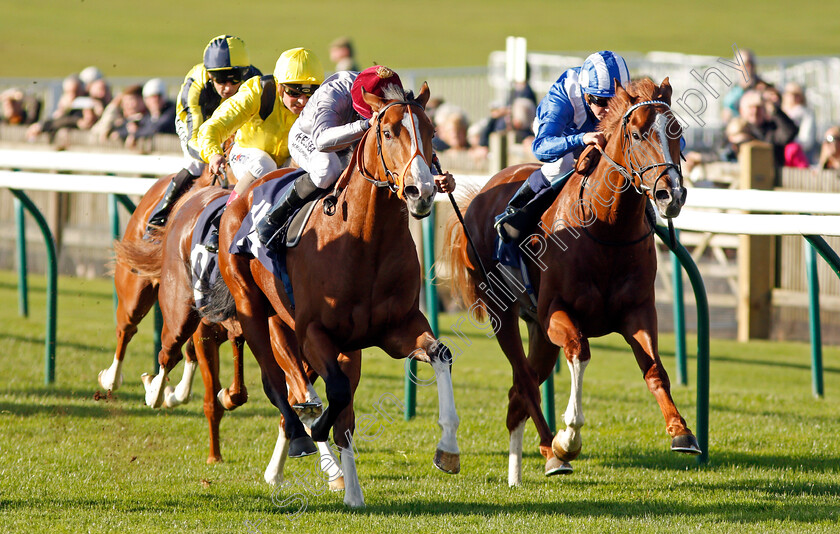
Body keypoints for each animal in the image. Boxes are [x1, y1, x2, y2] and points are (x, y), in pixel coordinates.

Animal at [217, 81, 460, 508]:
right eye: (388, 132)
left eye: (432, 132)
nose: (423, 191)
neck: (365, 240)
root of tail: (241, 193)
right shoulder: (315, 333)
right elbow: (336, 396)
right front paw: (319, 437)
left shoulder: (395, 329)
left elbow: (440, 355)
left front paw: (447, 450)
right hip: (253, 307)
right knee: (280, 383)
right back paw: (302, 439)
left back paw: (300, 472)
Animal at [450, 78, 700, 486]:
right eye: (635, 133)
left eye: (677, 131)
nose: (671, 194)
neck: (607, 229)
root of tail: (481, 193)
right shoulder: (557, 313)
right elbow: (580, 352)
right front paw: (568, 437)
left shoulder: (637, 312)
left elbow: (655, 369)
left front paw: (682, 432)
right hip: (503, 315)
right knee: (525, 383)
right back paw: (553, 453)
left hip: (537, 330)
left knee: (517, 393)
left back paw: (518, 473)